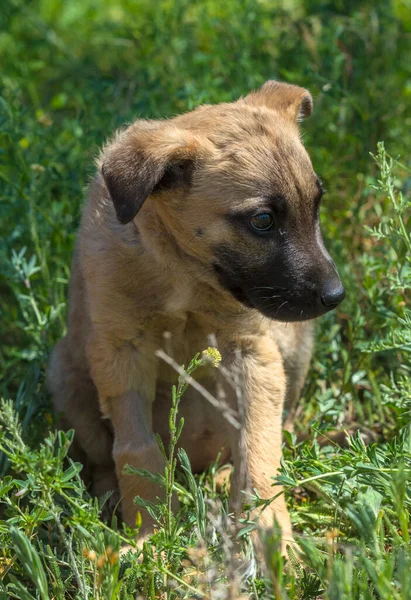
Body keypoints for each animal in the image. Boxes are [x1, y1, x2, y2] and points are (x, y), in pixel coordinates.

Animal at [46, 82, 346, 552]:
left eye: (316, 206)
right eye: (263, 220)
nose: (336, 295)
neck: (183, 271)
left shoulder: (253, 352)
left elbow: (259, 445)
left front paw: (269, 530)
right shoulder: (120, 353)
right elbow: (135, 450)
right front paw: (148, 530)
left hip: (295, 346)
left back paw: (225, 481)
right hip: (65, 373)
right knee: (101, 457)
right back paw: (110, 499)